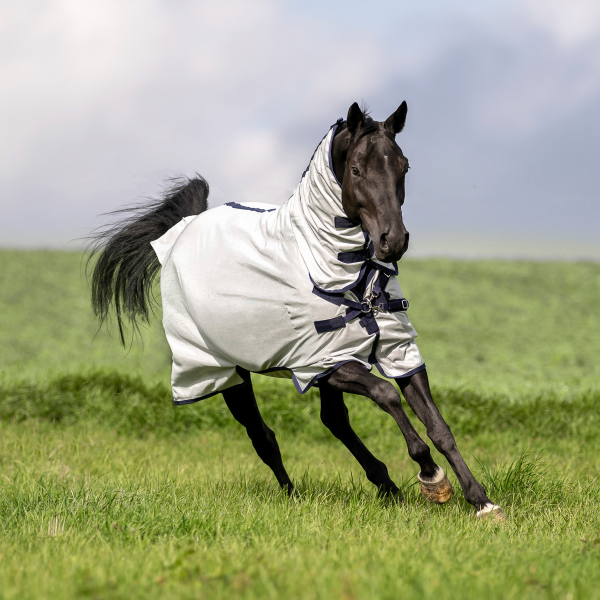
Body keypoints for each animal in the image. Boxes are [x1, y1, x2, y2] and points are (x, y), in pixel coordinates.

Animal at [88, 102, 502, 520]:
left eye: (404, 165)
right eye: (356, 169)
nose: (393, 241)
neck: (334, 270)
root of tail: (187, 226)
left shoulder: (394, 352)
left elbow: (439, 426)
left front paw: (481, 501)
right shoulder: (324, 363)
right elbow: (387, 395)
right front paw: (432, 477)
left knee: (332, 421)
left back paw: (386, 487)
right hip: (223, 371)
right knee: (263, 436)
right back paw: (294, 496)